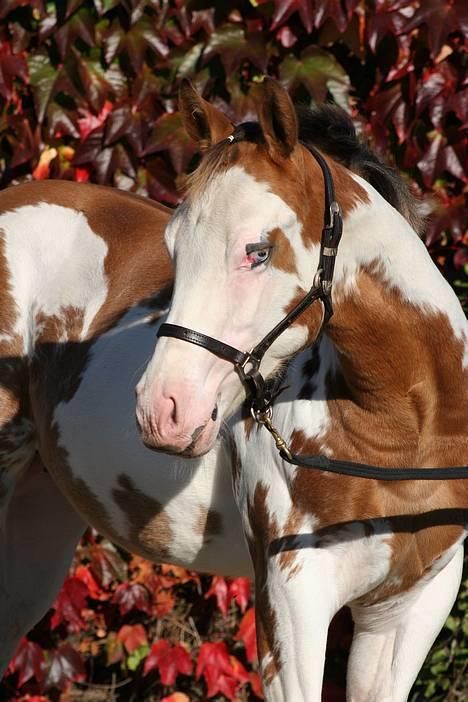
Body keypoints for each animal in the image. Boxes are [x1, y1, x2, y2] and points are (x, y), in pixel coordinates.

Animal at [134, 80, 464, 700]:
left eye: (258, 251)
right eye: (171, 246)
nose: (163, 411)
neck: (402, 435)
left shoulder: (409, 607)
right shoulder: (289, 604)